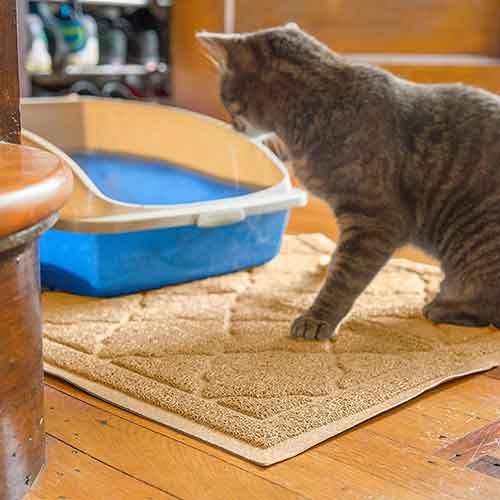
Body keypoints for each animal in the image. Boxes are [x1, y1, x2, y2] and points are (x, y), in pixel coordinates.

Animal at [196, 25, 500, 342]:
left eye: (225, 99)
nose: (232, 126)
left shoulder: (374, 221)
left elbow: (344, 276)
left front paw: (316, 318)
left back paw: (442, 306)